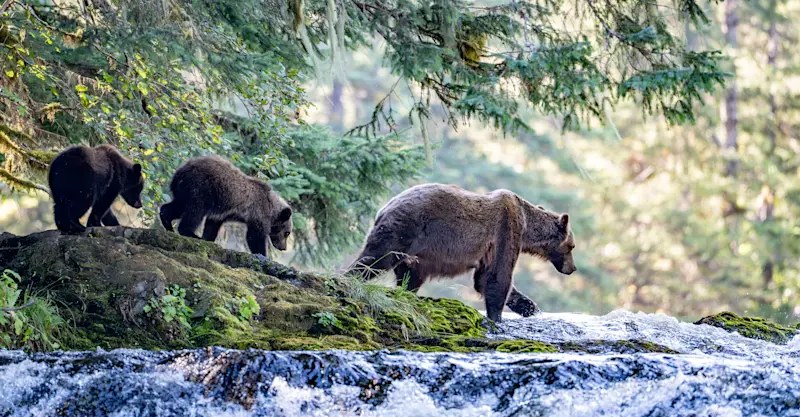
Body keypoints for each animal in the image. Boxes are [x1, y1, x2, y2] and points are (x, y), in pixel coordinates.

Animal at [159, 155, 293, 256]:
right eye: (287, 233)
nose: (283, 248)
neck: (271, 208)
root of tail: (179, 172)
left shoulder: (222, 213)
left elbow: (212, 226)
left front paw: (208, 238)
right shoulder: (258, 213)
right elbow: (255, 237)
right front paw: (262, 254)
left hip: (185, 191)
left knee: (178, 206)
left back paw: (167, 223)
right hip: (200, 188)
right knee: (195, 212)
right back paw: (191, 233)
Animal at [346, 183, 576, 324]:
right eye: (572, 247)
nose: (572, 268)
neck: (528, 225)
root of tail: (383, 208)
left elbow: (484, 278)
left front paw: (530, 308)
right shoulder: (506, 230)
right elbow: (497, 277)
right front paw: (497, 316)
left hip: (413, 251)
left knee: (409, 276)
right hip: (403, 230)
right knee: (374, 259)